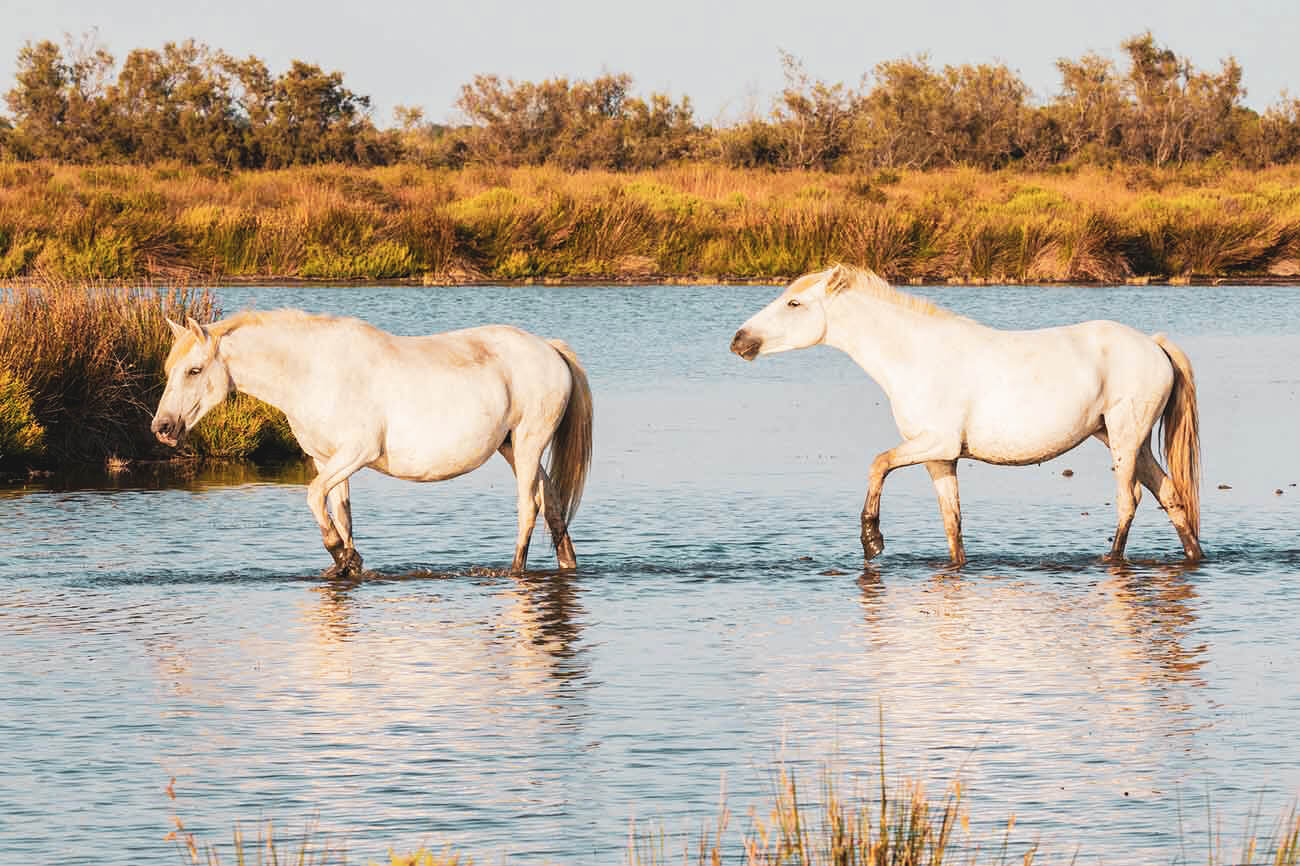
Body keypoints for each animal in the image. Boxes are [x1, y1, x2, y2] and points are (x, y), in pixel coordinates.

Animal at [152, 306, 595, 577]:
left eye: (194, 370)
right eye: (171, 370)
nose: (163, 427)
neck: (313, 371)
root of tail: (549, 349)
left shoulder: (356, 453)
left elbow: (313, 497)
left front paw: (343, 554)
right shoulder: (326, 460)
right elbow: (340, 513)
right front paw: (347, 563)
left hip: (529, 443)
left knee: (529, 507)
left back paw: (515, 570)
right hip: (513, 448)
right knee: (553, 505)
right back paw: (567, 565)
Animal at [738, 262, 1201, 566]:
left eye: (793, 303)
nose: (739, 340)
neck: (913, 356)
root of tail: (1153, 344)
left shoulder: (934, 443)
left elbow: (878, 463)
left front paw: (872, 539)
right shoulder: (940, 458)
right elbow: (952, 524)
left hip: (1124, 438)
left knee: (1129, 501)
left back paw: (1111, 559)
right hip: (1128, 440)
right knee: (1171, 496)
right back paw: (1195, 555)